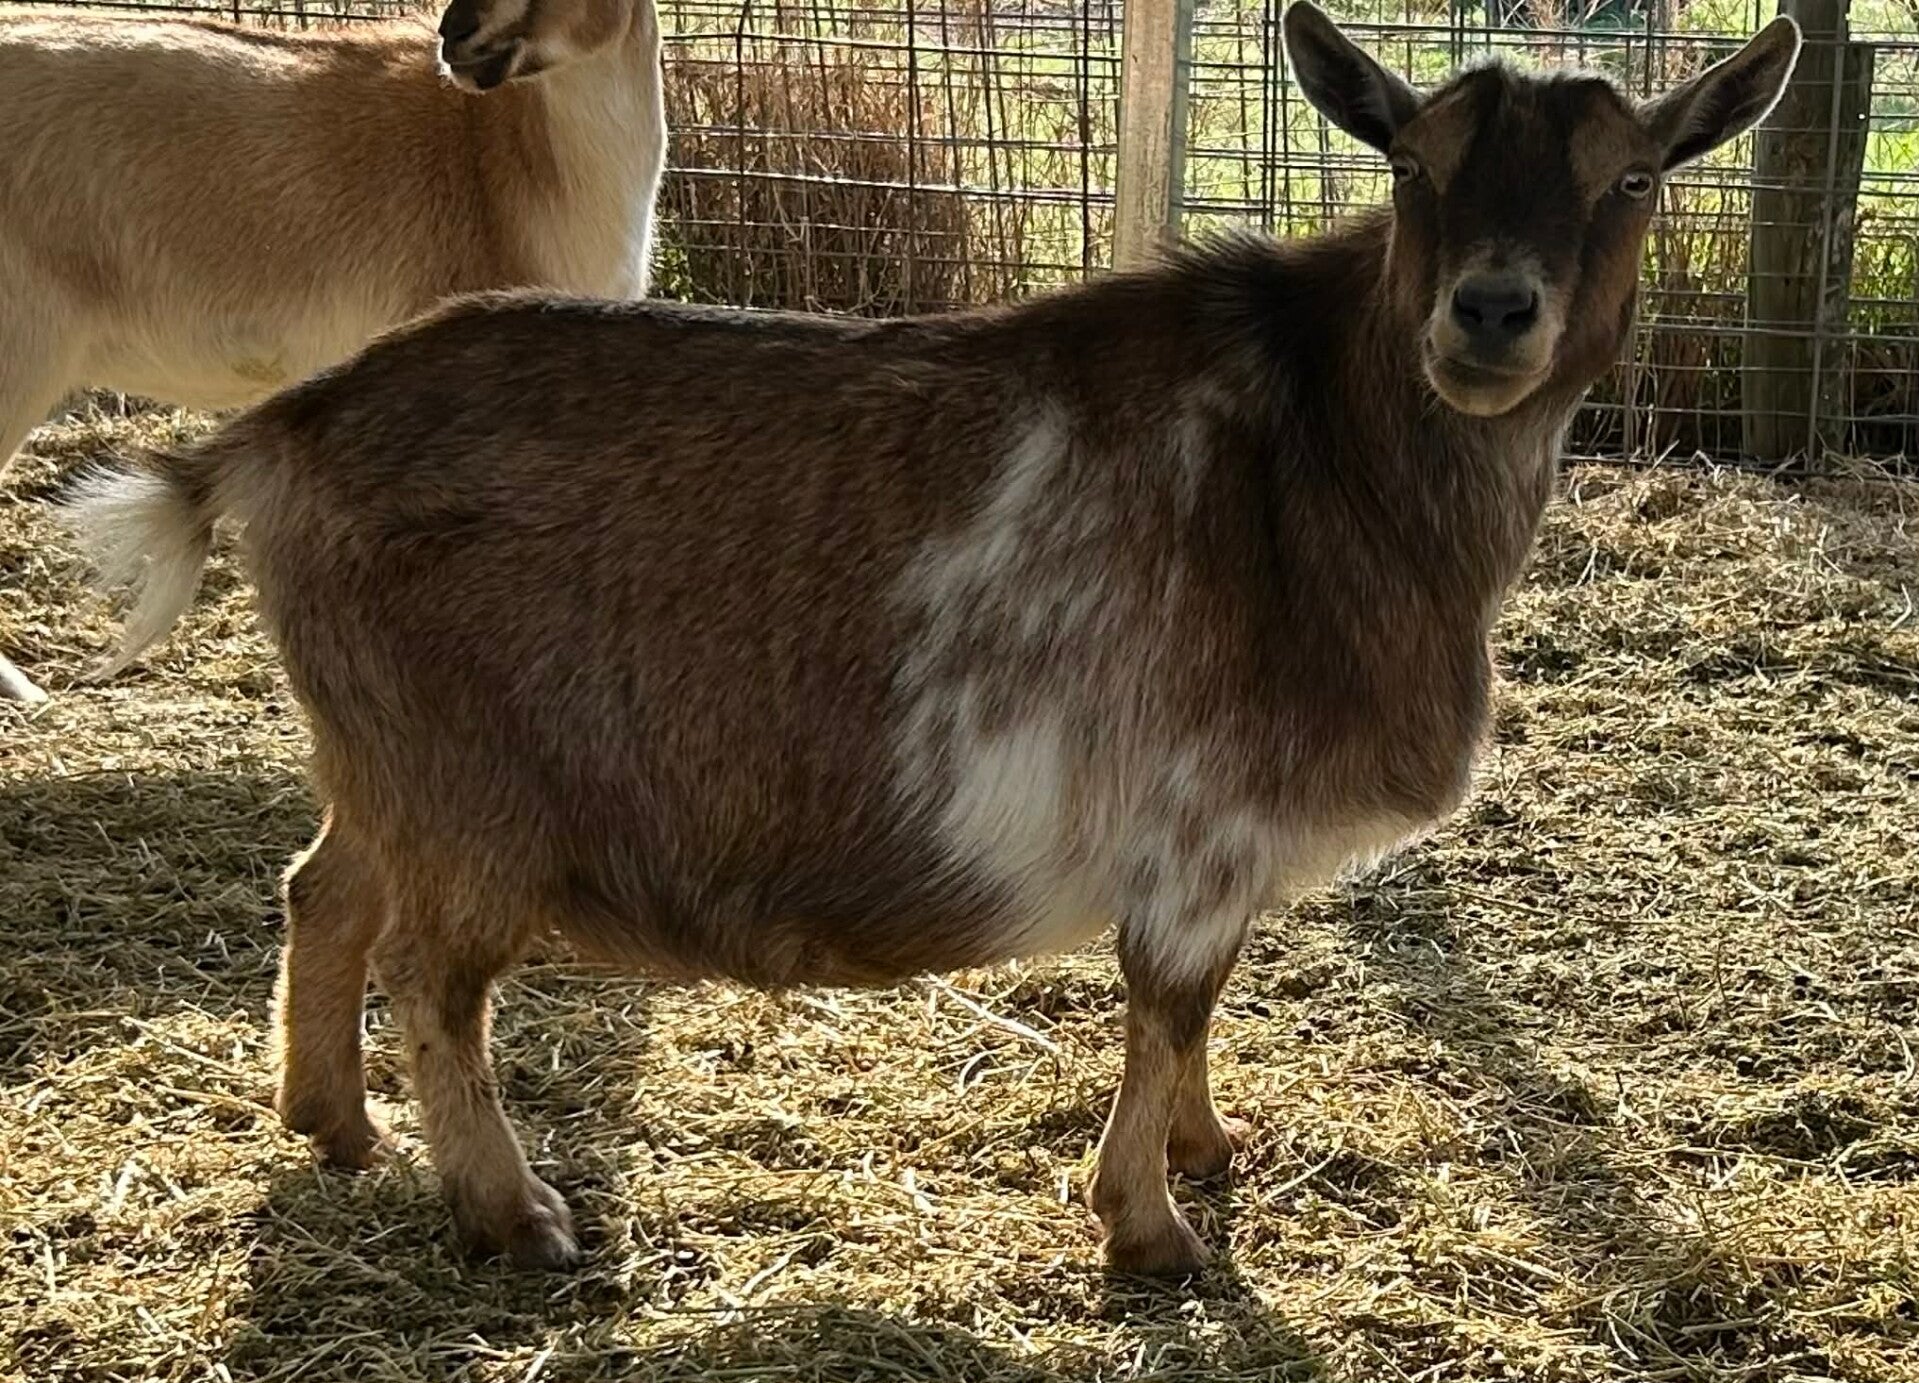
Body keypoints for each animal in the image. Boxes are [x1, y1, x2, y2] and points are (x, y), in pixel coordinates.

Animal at [66, 3, 1799, 1274]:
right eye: (1414, 165)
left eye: (1631, 177)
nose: (1487, 314)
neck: (1324, 454)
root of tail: (281, 434)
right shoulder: (1193, 820)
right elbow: (1167, 1001)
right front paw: (1151, 1227)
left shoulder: (1224, 843)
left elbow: (1200, 1012)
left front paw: (1207, 1148)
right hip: (471, 782)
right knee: (436, 976)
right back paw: (513, 1209)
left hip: (379, 752)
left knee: (325, 886)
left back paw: (331, 1122)